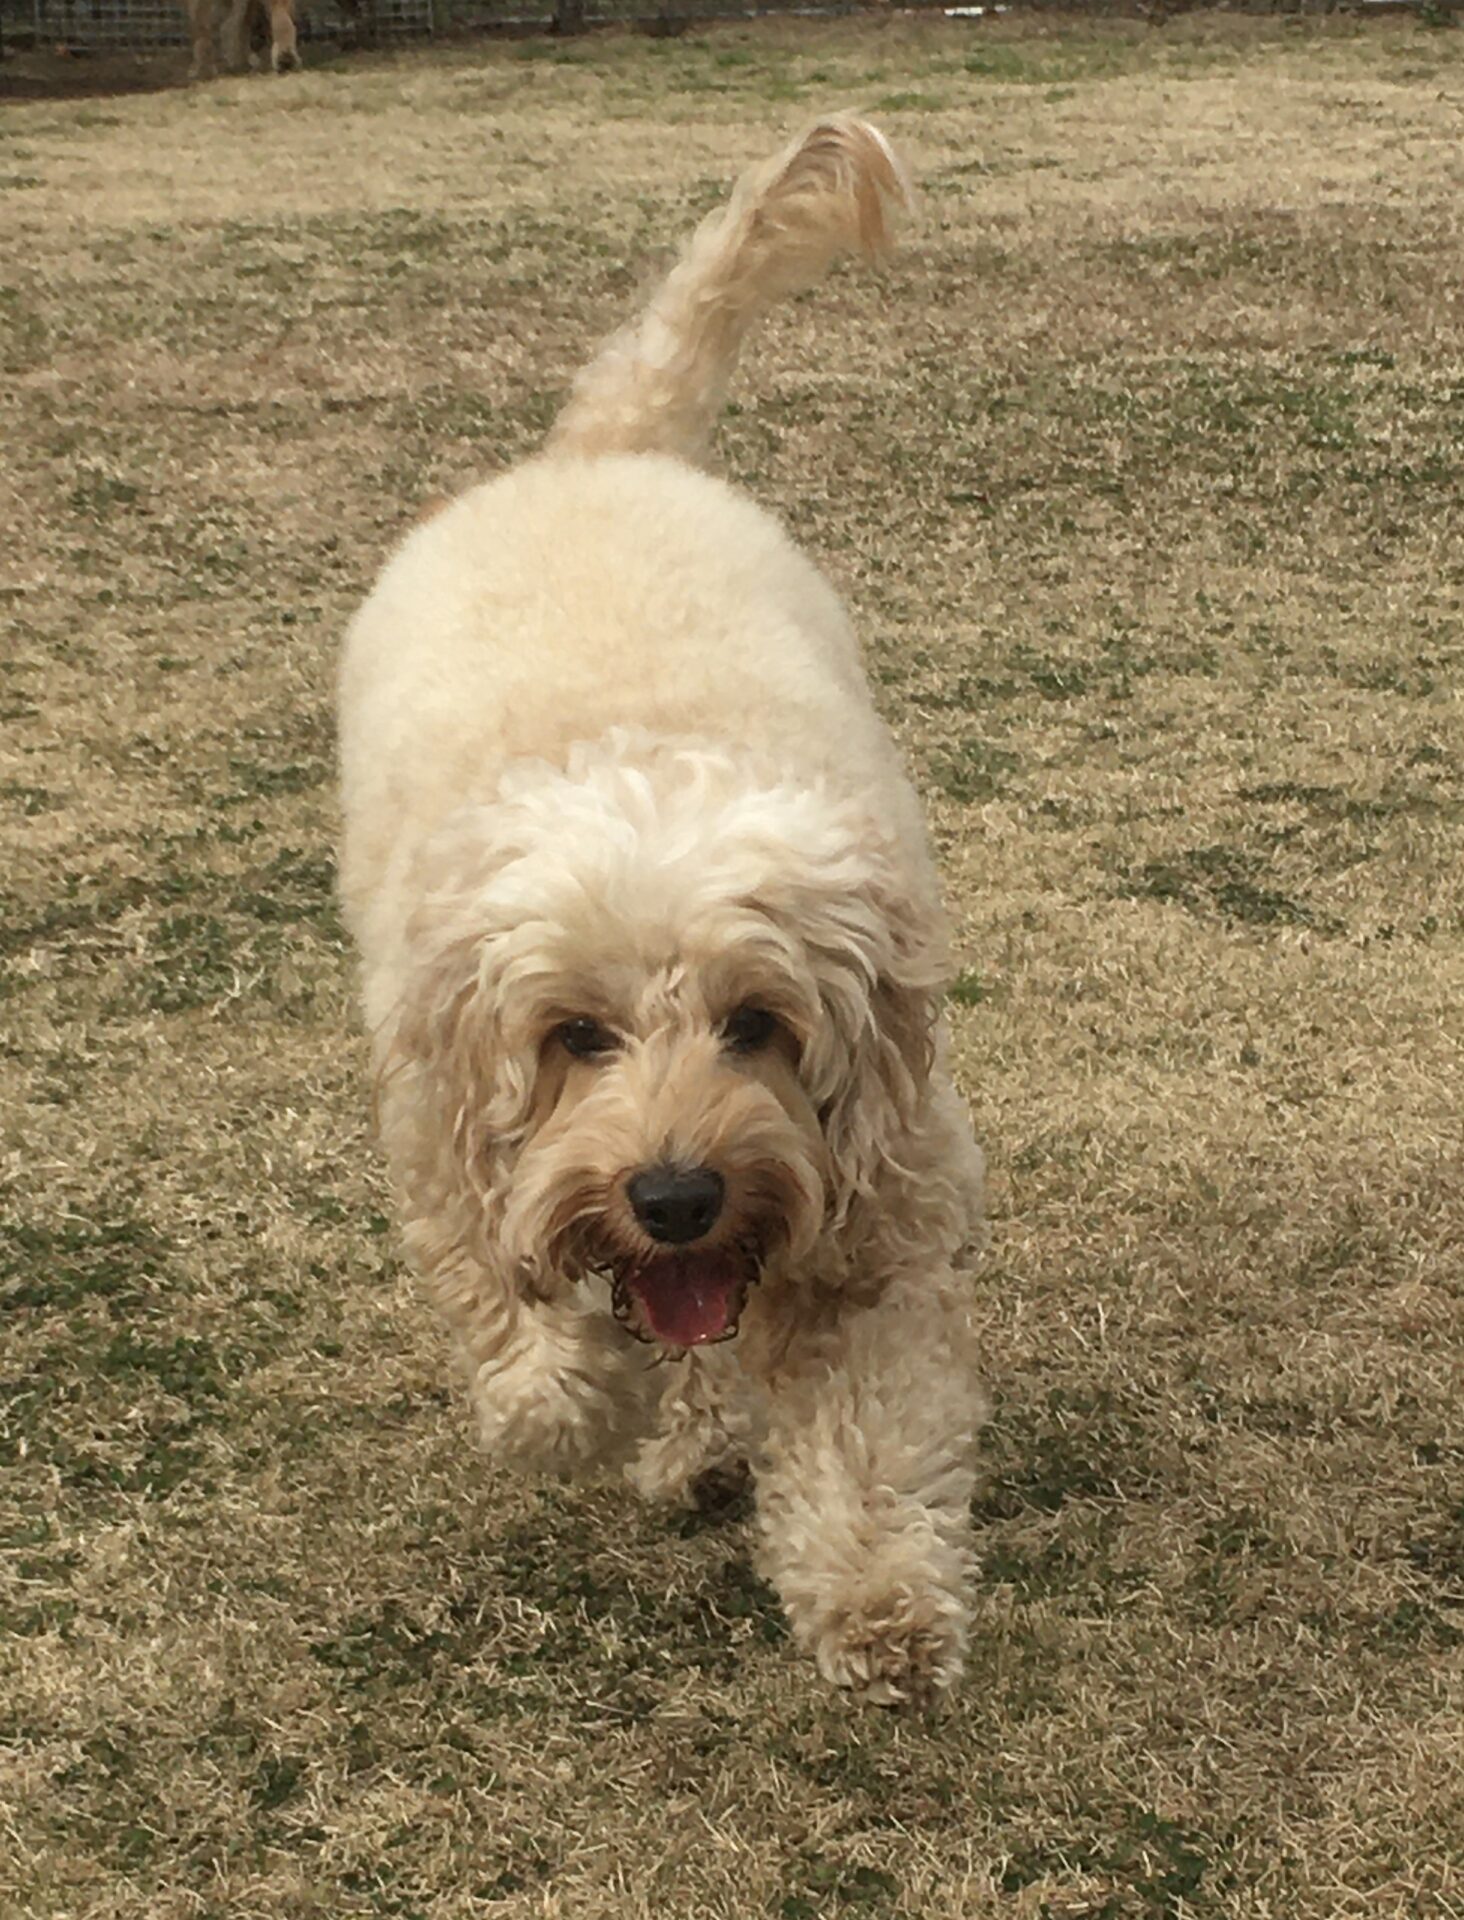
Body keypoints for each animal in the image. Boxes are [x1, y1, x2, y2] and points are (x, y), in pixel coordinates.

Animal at [337, 118, 989, 1704]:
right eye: (574, 1036)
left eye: (760, 1024)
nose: (676, 1195)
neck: (645, 760)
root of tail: (598, 451)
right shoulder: (444, 1132)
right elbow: (538, 1345)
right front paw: (582, 1396)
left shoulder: (874, 1206)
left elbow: (867, 1422)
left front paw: (879, 1603)